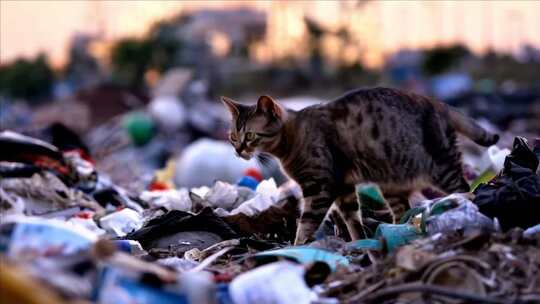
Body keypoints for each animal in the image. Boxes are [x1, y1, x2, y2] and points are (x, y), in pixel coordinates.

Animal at [219, 86, 498, 243]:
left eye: (250, 135)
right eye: (232, 136)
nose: (238, 150)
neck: (290, 140)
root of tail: (437, 102)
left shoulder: (320, 187)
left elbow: (306, 224)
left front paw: (297, 248)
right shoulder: (344, 189)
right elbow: (353, 220)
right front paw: (359, 243)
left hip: (441, 167)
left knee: (465, 188)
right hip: (392, 184)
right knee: (402, 211)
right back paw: (397, 230)